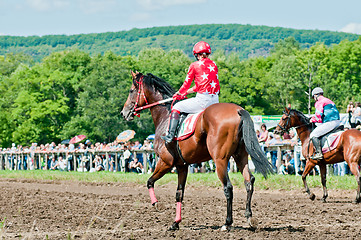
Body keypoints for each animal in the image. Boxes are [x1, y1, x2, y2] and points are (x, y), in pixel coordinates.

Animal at [119, 71, 272, 231]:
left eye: (131, 90)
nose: (123, 113)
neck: (165, 117)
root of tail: (238, 110)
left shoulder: (165, 162)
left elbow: (149, 181)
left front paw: (156, 204)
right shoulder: (182, 166)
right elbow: (179, 193)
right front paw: (175, 223)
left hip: (220, 160)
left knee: (228, 188)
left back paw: (227, 223)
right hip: (240, 156)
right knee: (249, 181)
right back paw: (250, 218)